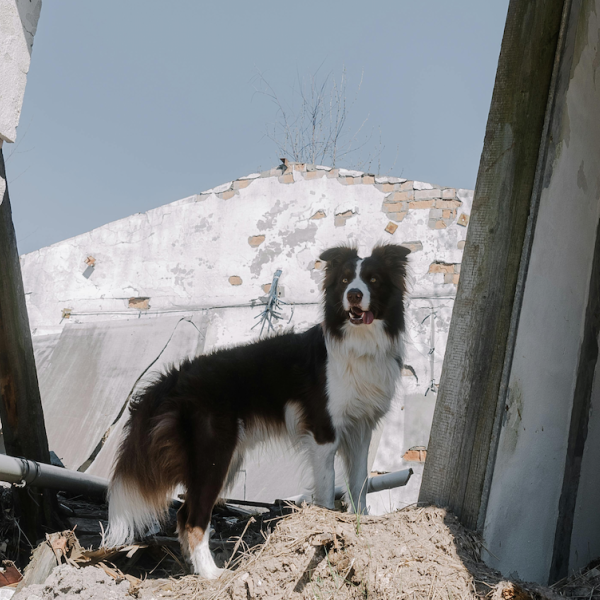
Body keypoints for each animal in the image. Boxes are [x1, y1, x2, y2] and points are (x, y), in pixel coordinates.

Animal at [105, 243, 410, 576]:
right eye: (344, 281)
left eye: (373, 280)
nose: (354, 295)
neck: (358, 342)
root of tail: (175, 376)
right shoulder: (323, 432)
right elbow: (328, 487)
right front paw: (325, 529)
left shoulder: (361, 428)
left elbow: (360, 482)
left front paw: (362, 523)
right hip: (215, 451)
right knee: (193, 517)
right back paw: (212, 575)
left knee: (184, 513)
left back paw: (196, 569)